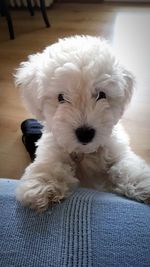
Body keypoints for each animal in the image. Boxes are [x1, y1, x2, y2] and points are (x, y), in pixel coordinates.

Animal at [15, 35, 150, 213]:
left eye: (101, 95)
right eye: (61, 98)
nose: (85, 133)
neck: (85, 153)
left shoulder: (117, 148)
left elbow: (127, 164)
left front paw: (141, 183)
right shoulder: (53, 148)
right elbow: (51, 164)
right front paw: (42, 186)